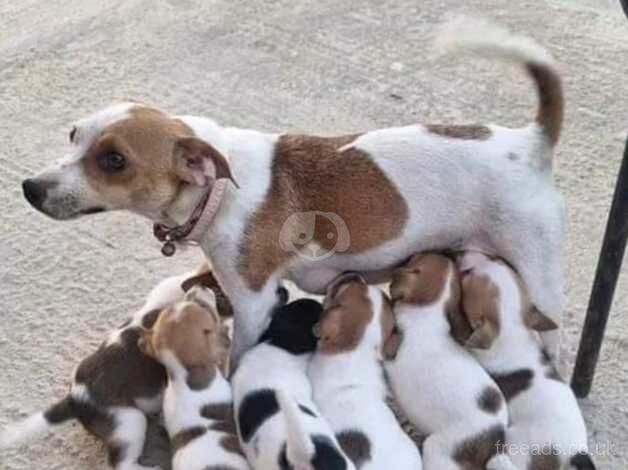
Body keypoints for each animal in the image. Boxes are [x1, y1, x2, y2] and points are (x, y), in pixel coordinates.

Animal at [22, 18, 568, 362]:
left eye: (114, 161)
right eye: (73, 136)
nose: (29, 187)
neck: (218, 190)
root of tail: (530, 140)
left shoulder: (254, 303)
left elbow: (238, 356)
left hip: (539, 278)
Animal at [456, 252, 592, 470]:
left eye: (467, 275)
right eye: (498, 260)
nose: (463, 253)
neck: (512, 328)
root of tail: (576, 453)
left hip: (515, 442)